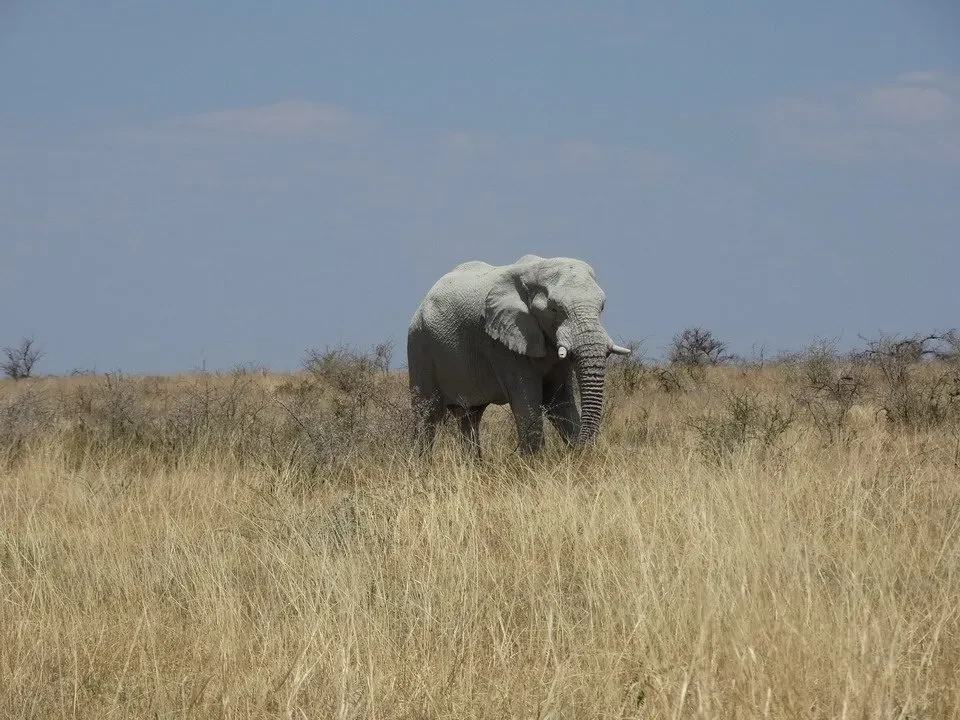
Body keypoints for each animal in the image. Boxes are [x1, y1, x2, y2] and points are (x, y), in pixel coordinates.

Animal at [407, 254, 630, 456]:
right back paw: (422, 467)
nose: (581, 447)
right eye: (554, 309)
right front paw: (535, 466)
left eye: (602, 307)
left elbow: (559, 399)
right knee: (427, 414)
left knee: (469, 416)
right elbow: (527, 399)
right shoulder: (503, 343)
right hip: (419, 347)